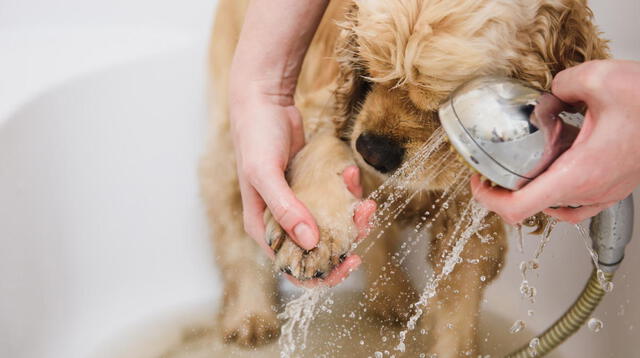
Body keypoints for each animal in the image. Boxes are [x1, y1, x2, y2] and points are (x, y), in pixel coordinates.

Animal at [201, 0, 608, 356]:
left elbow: (457, 304)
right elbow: (322, 149)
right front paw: (309, 239)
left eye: (443, 101)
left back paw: (392, 298)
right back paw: (250, 317)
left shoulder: (471, 216)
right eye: (368, 68)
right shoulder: (327, 107)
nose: (372, 150)